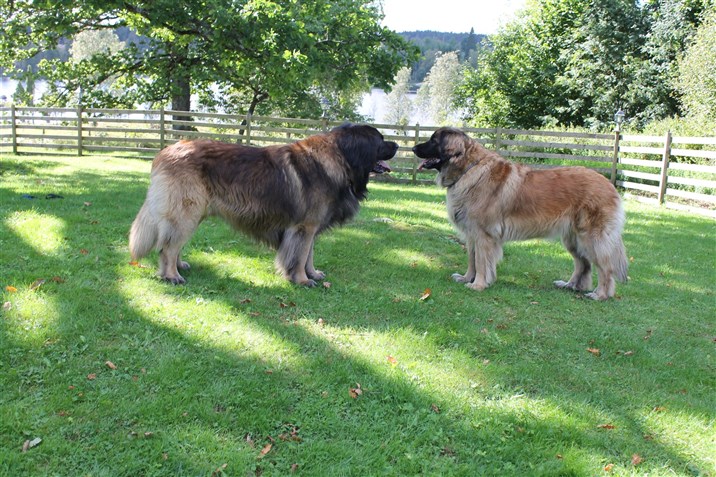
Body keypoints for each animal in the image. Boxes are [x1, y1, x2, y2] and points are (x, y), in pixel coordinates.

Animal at [414, 126, 628, 298]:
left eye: (434, 141)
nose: (414, 148)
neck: (468, 169)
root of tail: (609, 184)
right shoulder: (472, 234)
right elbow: (472, 259)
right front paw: (467, 278)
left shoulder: (484, 235)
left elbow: (481, 262)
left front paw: (478, 284)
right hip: (572, 239)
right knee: (583, 264)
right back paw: (570, 285)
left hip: (592, 238)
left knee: (605, 268)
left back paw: (600, 294)